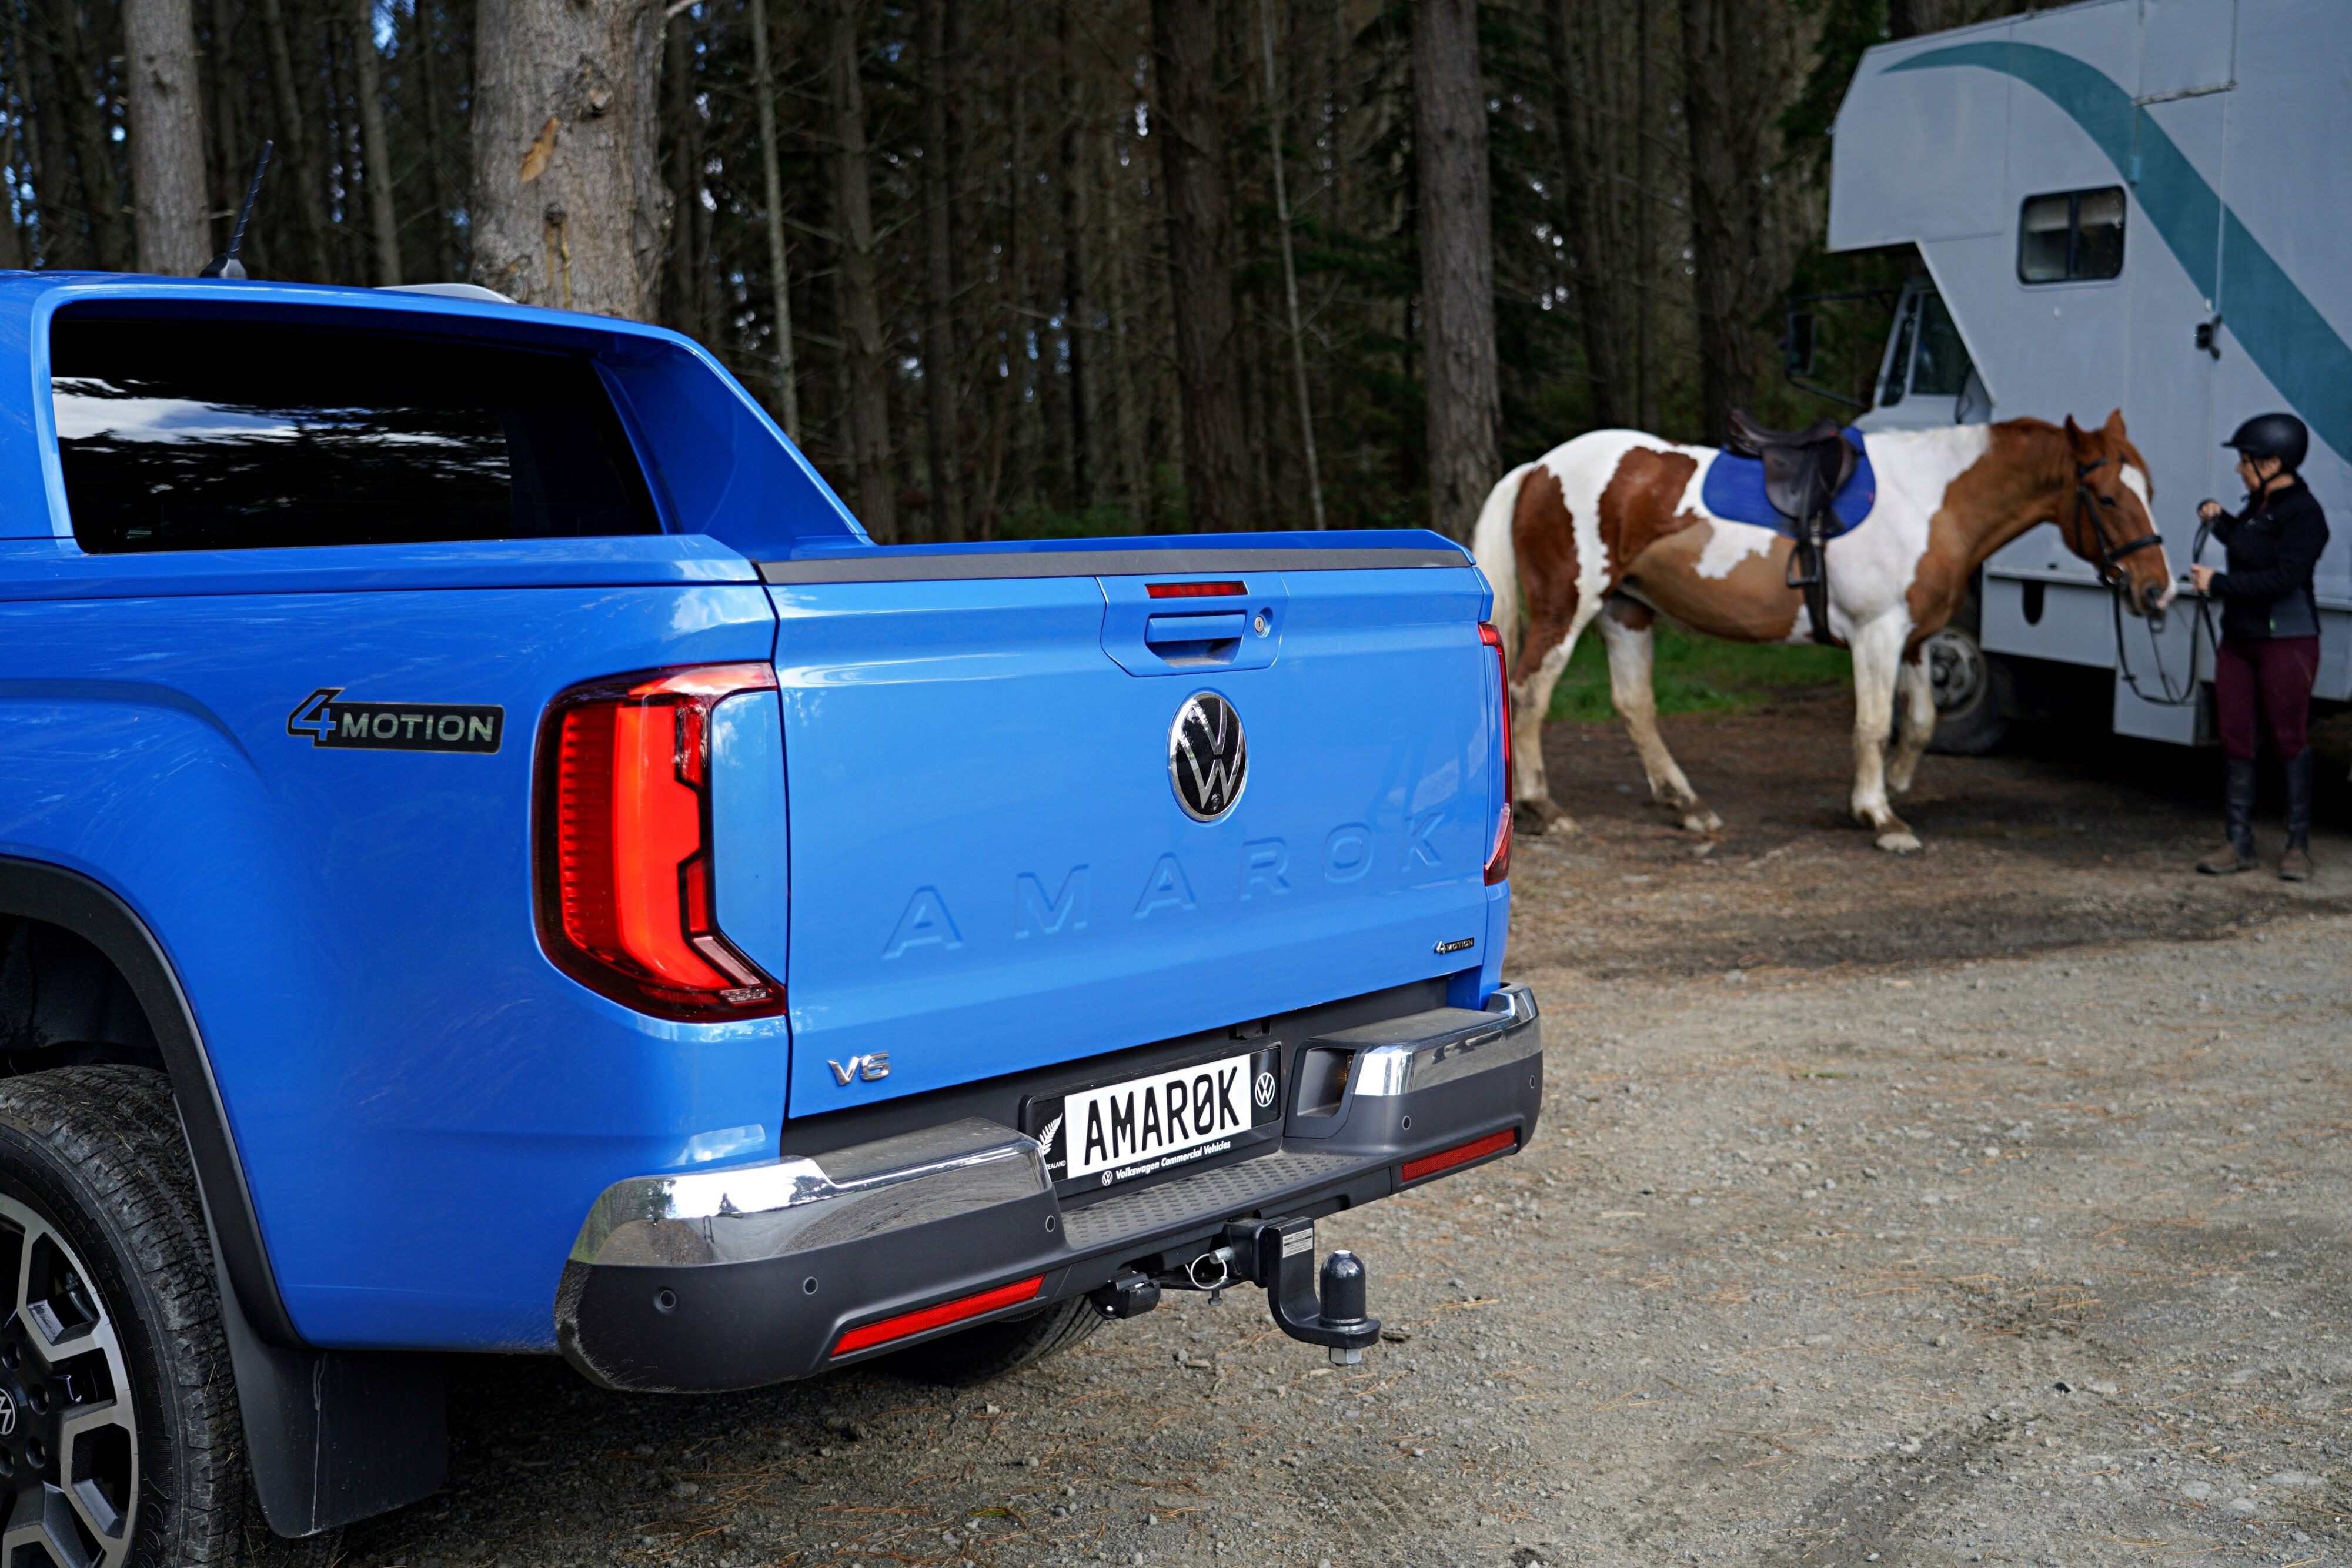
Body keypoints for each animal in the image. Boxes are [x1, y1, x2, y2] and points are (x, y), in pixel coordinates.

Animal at [1477, 404, 2173, 846]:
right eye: (2108, 498)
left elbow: (1920, 722)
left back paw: (1687, 805)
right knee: (1529, 694)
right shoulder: (1876, 632)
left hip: (1625, 610)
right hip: (1569, 608)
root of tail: (1537, 469)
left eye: (2150, 491)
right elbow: (1872, 723)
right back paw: (1545, 808)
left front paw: (1893, 784)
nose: (2156, 589)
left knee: (1634, 705)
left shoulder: (1914, 639)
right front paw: (1879, 816)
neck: (1933, 500)